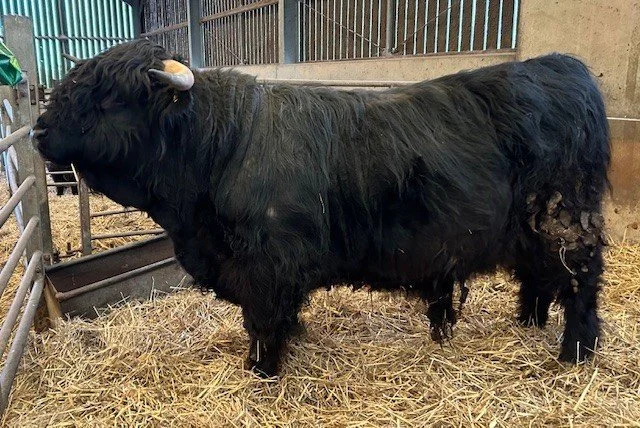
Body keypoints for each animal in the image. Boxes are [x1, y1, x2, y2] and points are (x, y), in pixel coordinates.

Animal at [33, 40, 609, 377]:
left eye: (109, 97)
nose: (37, 132)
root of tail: (562, 67)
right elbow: (278, 316)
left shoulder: (265, 263)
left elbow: (263, 320)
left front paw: (262, 368)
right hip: (530, 233)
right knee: (537, 279)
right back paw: (528, 324)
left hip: (564, 223)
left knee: (580, 283)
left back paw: (574, 352)